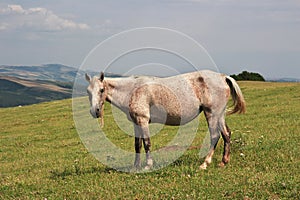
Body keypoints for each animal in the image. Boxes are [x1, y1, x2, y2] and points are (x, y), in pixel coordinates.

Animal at [85, 70, 245, 170]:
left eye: (101, 90)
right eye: (88, 91)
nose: (95, 111)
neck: (133, 90)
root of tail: (223, 77)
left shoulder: (143, 121)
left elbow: (147, 143)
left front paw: (147, 165)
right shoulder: (136, 122)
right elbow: (137, 145)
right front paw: (135, 166)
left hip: (211, 114)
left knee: (215, 136)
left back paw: (205, 163)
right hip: (220, 115)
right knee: (226, 134)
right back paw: (224, 162)